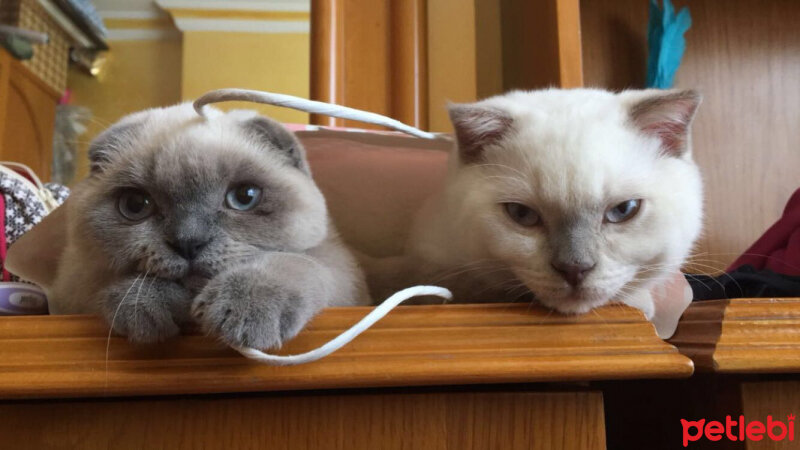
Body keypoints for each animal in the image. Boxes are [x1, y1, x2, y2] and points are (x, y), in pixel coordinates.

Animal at [51, 104, 370, 348]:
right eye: (135, 204)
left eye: (244, 197)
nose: (188, 241)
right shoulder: (71, 291)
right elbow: (110, 287)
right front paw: (147, 307)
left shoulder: (338, 270)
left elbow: (293, 262)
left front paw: (242, 309)